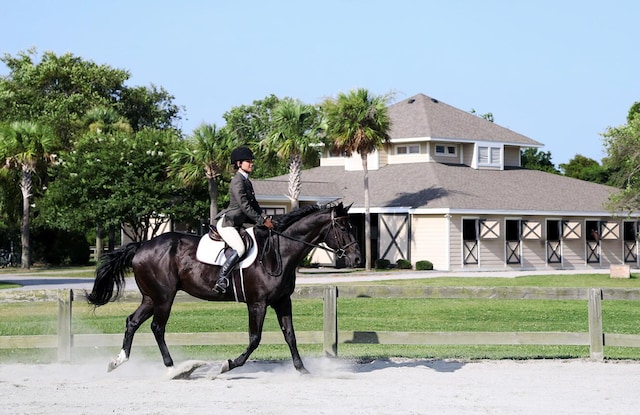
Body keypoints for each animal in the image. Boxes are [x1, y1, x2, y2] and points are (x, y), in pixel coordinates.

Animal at [85, 203, 360, 376]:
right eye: (343, 228)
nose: (357, 259)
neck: (279, 252)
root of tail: (142, 245)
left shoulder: (282, 301)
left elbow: (290, 335)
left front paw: (302, 369)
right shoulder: (257, 303)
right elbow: (254, 339)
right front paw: (228, 364)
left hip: (151, 298)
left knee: (132, 322)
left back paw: (118, 361)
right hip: (164, 297)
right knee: (157, 327)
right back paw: (175, 369)